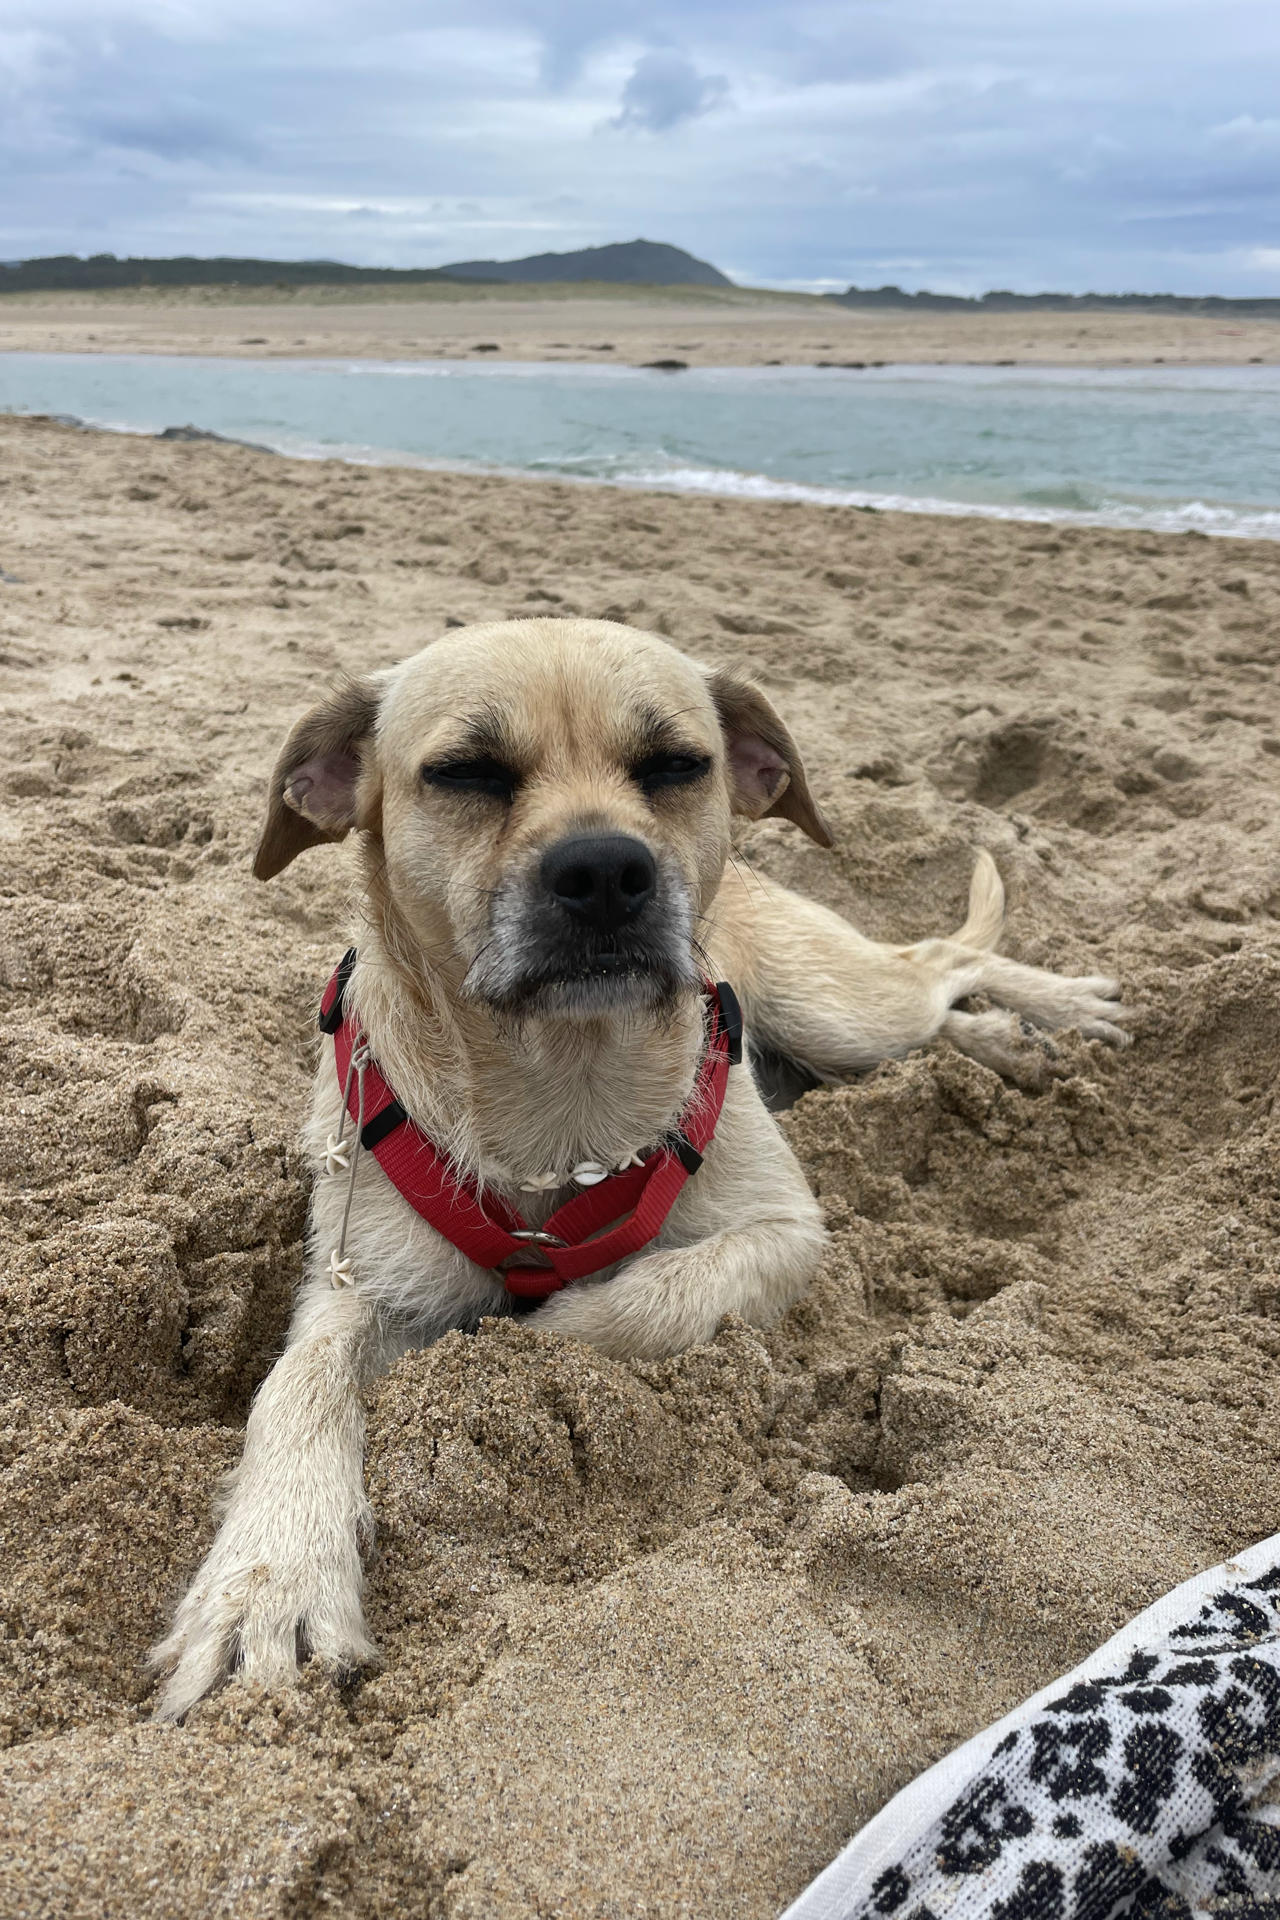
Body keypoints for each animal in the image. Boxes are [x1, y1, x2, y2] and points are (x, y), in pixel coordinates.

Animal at [152, 622, 1128, 1720]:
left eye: (674, 766)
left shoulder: (783, 1232)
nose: (605, 869)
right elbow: (297, 1386)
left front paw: (522, 1333)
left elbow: (629, 1303)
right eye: (465, 773)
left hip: (842, 1012)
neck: (562, 1087)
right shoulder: (357, 1282)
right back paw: (1005, 1042)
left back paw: (1050, 1011)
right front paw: (269, 1578)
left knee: (935, 964)